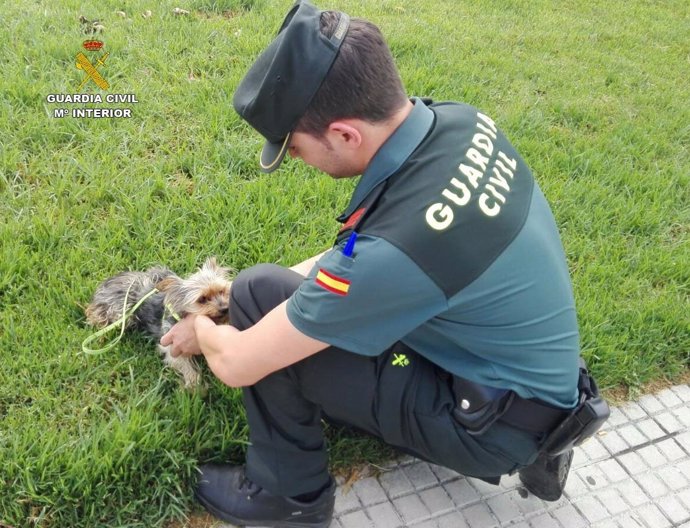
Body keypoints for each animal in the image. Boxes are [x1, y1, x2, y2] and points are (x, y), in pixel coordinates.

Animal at [85, 258, 231, 386]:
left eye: (222, 291)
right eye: (202, 299)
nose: (225, 308)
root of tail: (108, 282)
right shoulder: (172, 343)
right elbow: (184, 364)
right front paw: (194, 385)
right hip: (120, 310)